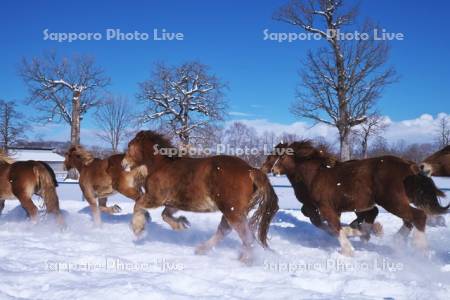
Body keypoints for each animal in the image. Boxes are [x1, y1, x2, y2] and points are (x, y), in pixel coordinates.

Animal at [121, 130, 280, 262]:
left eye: (130, 145)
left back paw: (244, 260)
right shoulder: (174, 202)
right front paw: (181, 225)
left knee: (246, 236)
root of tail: (250, 170)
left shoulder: (155, 198)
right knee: (225, 230)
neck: (161, 166)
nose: (123, 164)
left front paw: (137, 229)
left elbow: (138, 205)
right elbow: (165, 215)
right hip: (233, 211)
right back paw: (202, 249)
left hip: (232, 211)